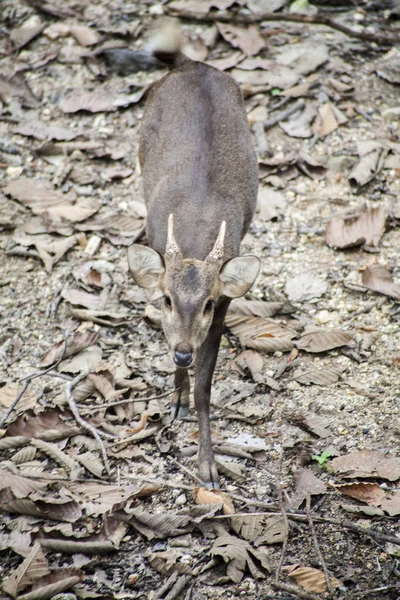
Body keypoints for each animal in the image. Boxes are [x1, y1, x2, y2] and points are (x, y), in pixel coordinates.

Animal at [127, 22, 260, 488]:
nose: (184, 351)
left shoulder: (225, 306)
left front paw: (207, 465)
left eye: (207, 304)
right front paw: (175, 401)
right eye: (166, 299)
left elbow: (206, 387)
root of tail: (191, 63)